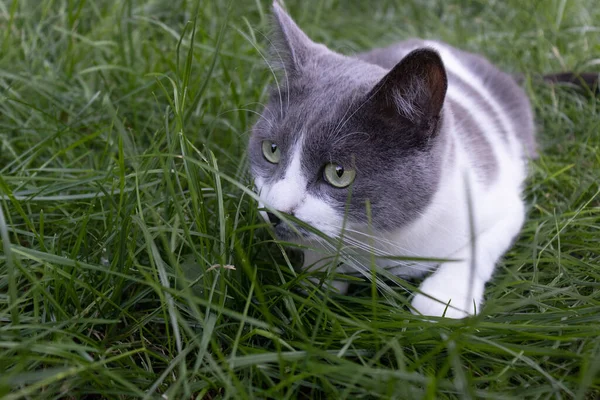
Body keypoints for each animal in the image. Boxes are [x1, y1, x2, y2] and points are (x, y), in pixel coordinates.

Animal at [247, 1, 580, 318]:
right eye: (271, 150)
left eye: (338, 173)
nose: (275, 212)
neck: (381, 239)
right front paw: (320, 278)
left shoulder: (500, 201)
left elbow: (480, 244)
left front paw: (442, 301)